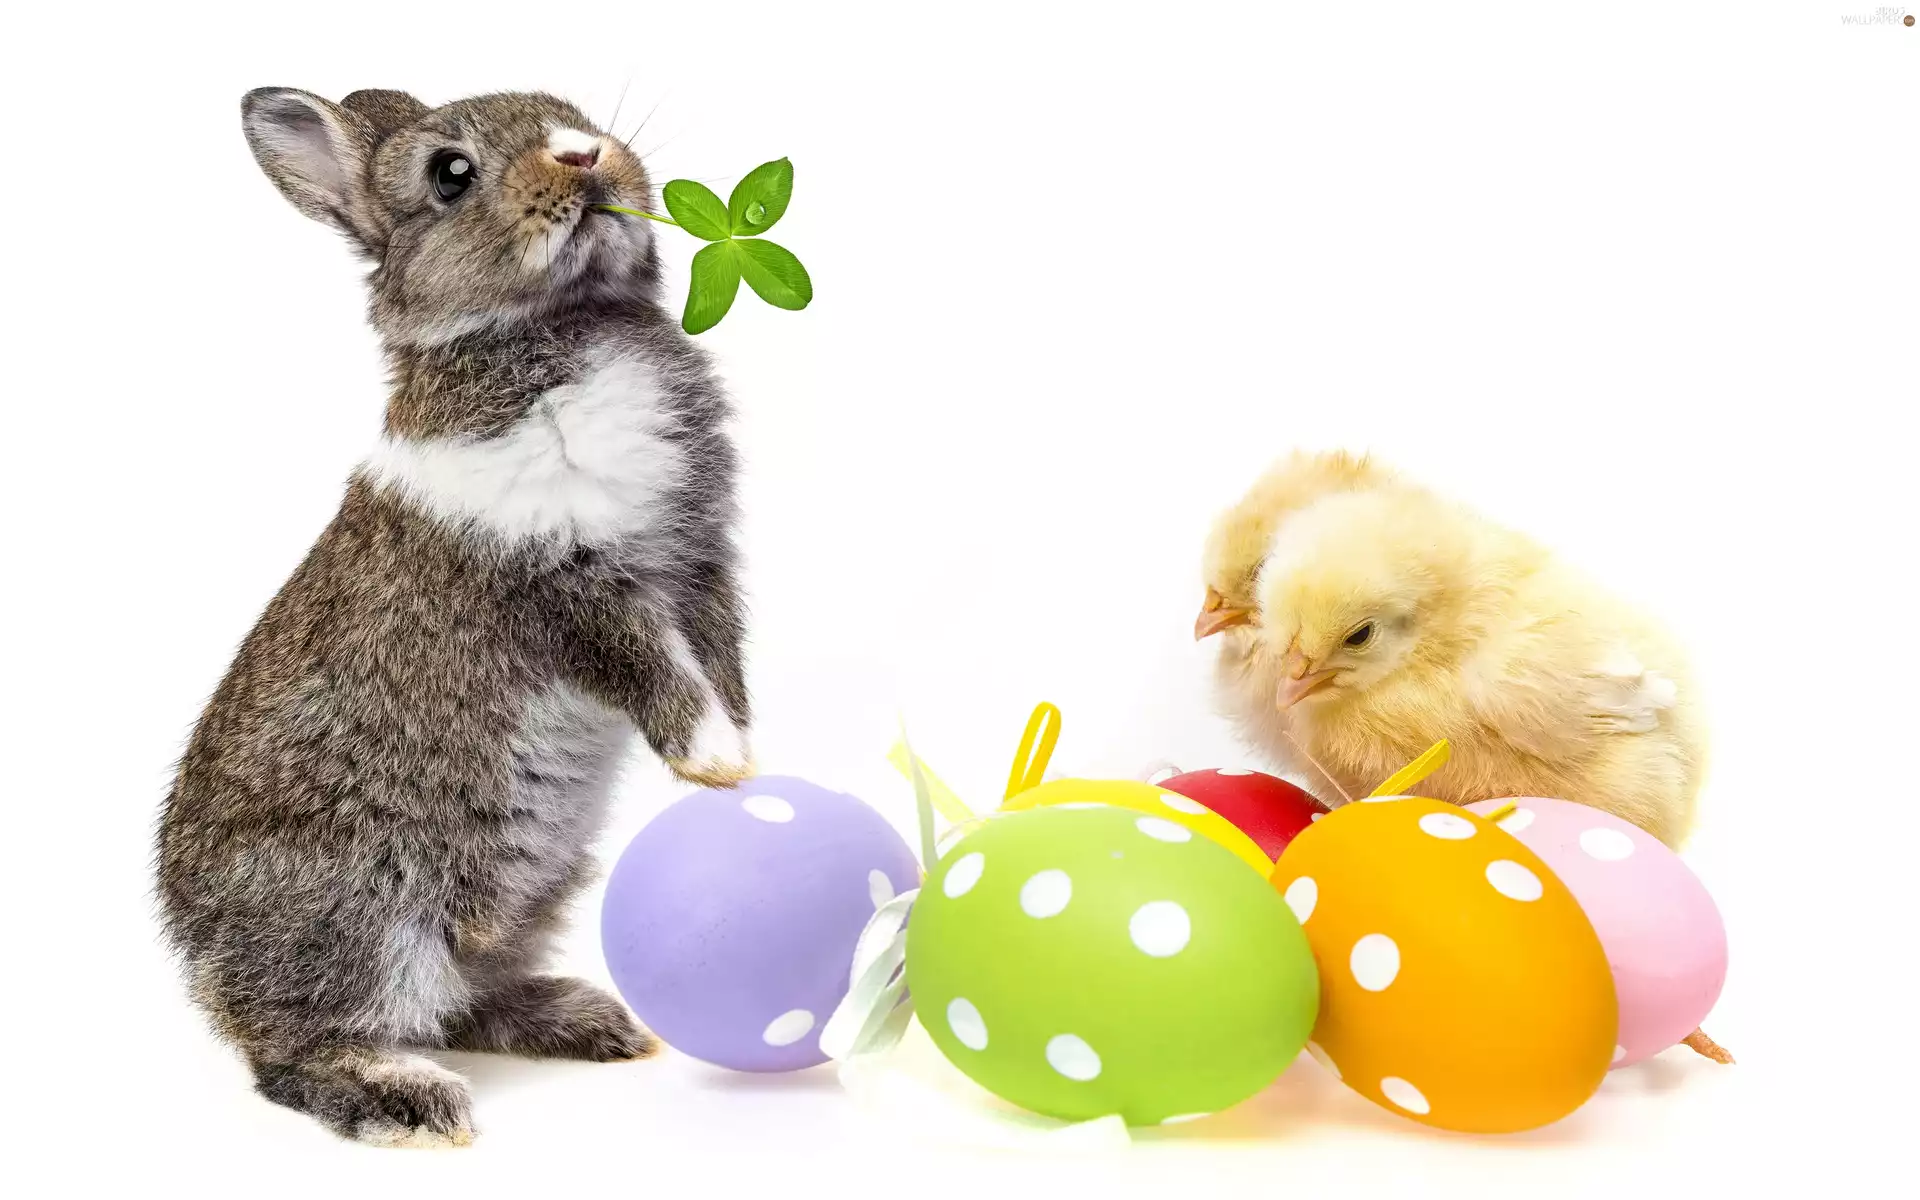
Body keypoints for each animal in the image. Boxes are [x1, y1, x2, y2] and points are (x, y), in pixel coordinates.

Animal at [155, 87, 755, 1148]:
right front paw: (716, 763)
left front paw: (754, 762)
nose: (583, 155)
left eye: (570, 108)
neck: (567, 327)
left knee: (461, 1000)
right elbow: (653, 670)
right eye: (450, 174)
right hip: (366, 920)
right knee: (295, 1054)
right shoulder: (564, 588)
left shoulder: (699, 562)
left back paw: (588, 1023)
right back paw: (412, 1102)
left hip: (525, 896)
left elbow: (719, 657)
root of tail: (201, 960)